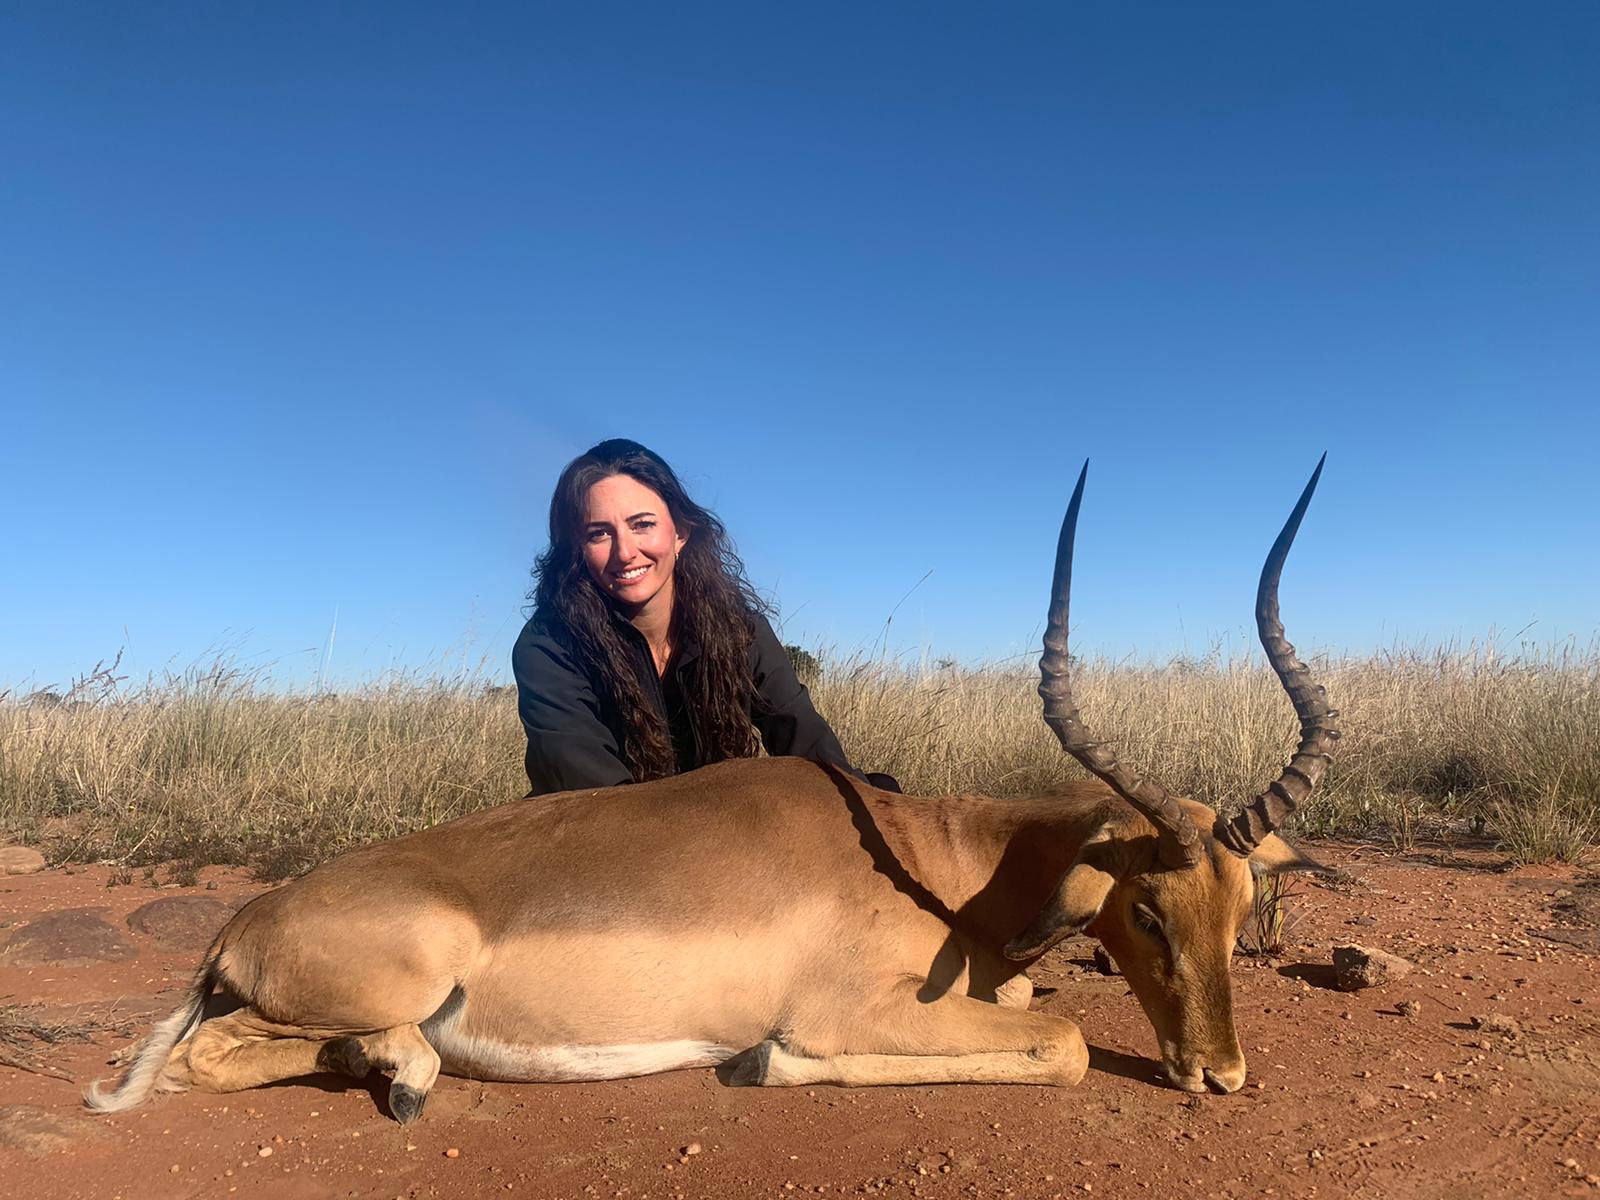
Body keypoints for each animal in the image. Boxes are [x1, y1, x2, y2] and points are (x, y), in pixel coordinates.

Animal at [87, 460, 1337, 1126]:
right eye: (1146, 910)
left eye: (1242, 910)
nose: (1220, 1073)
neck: (931, 864)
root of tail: (243, 925)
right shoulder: (854, 1008)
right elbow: (1066, 1038)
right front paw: (767, 1062)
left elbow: (1043, 1008)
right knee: (202, 1058)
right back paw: (404, 1073)